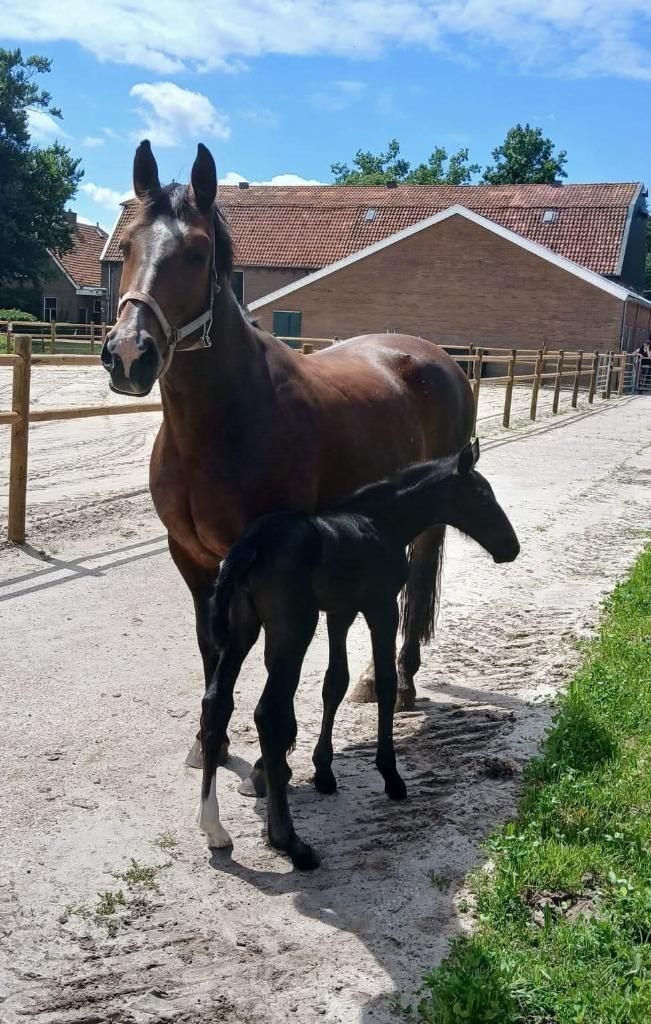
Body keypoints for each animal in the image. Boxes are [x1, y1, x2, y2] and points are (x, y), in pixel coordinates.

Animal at [100, 140, 475, 766]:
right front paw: (209, 740)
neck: (221, 425)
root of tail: (439, 357)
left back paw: (400, 685)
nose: (130, 354)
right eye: (126, 247)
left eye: (197, 253)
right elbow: (211, 649)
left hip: (430, 524)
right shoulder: (193, 560)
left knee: (415, 593)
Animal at [198, 441, 520, 870]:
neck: (380, 523)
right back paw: (291, 843)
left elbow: (334, 684)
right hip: (292, 630)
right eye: (482, 496)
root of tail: (252, 544)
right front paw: (391, 776)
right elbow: (383, 682)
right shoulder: (381, 607)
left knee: (216, 703)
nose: (511, 548)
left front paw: (324, 773)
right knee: (269, 715)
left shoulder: (341, 611)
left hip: (242, 628)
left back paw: (213, 828)